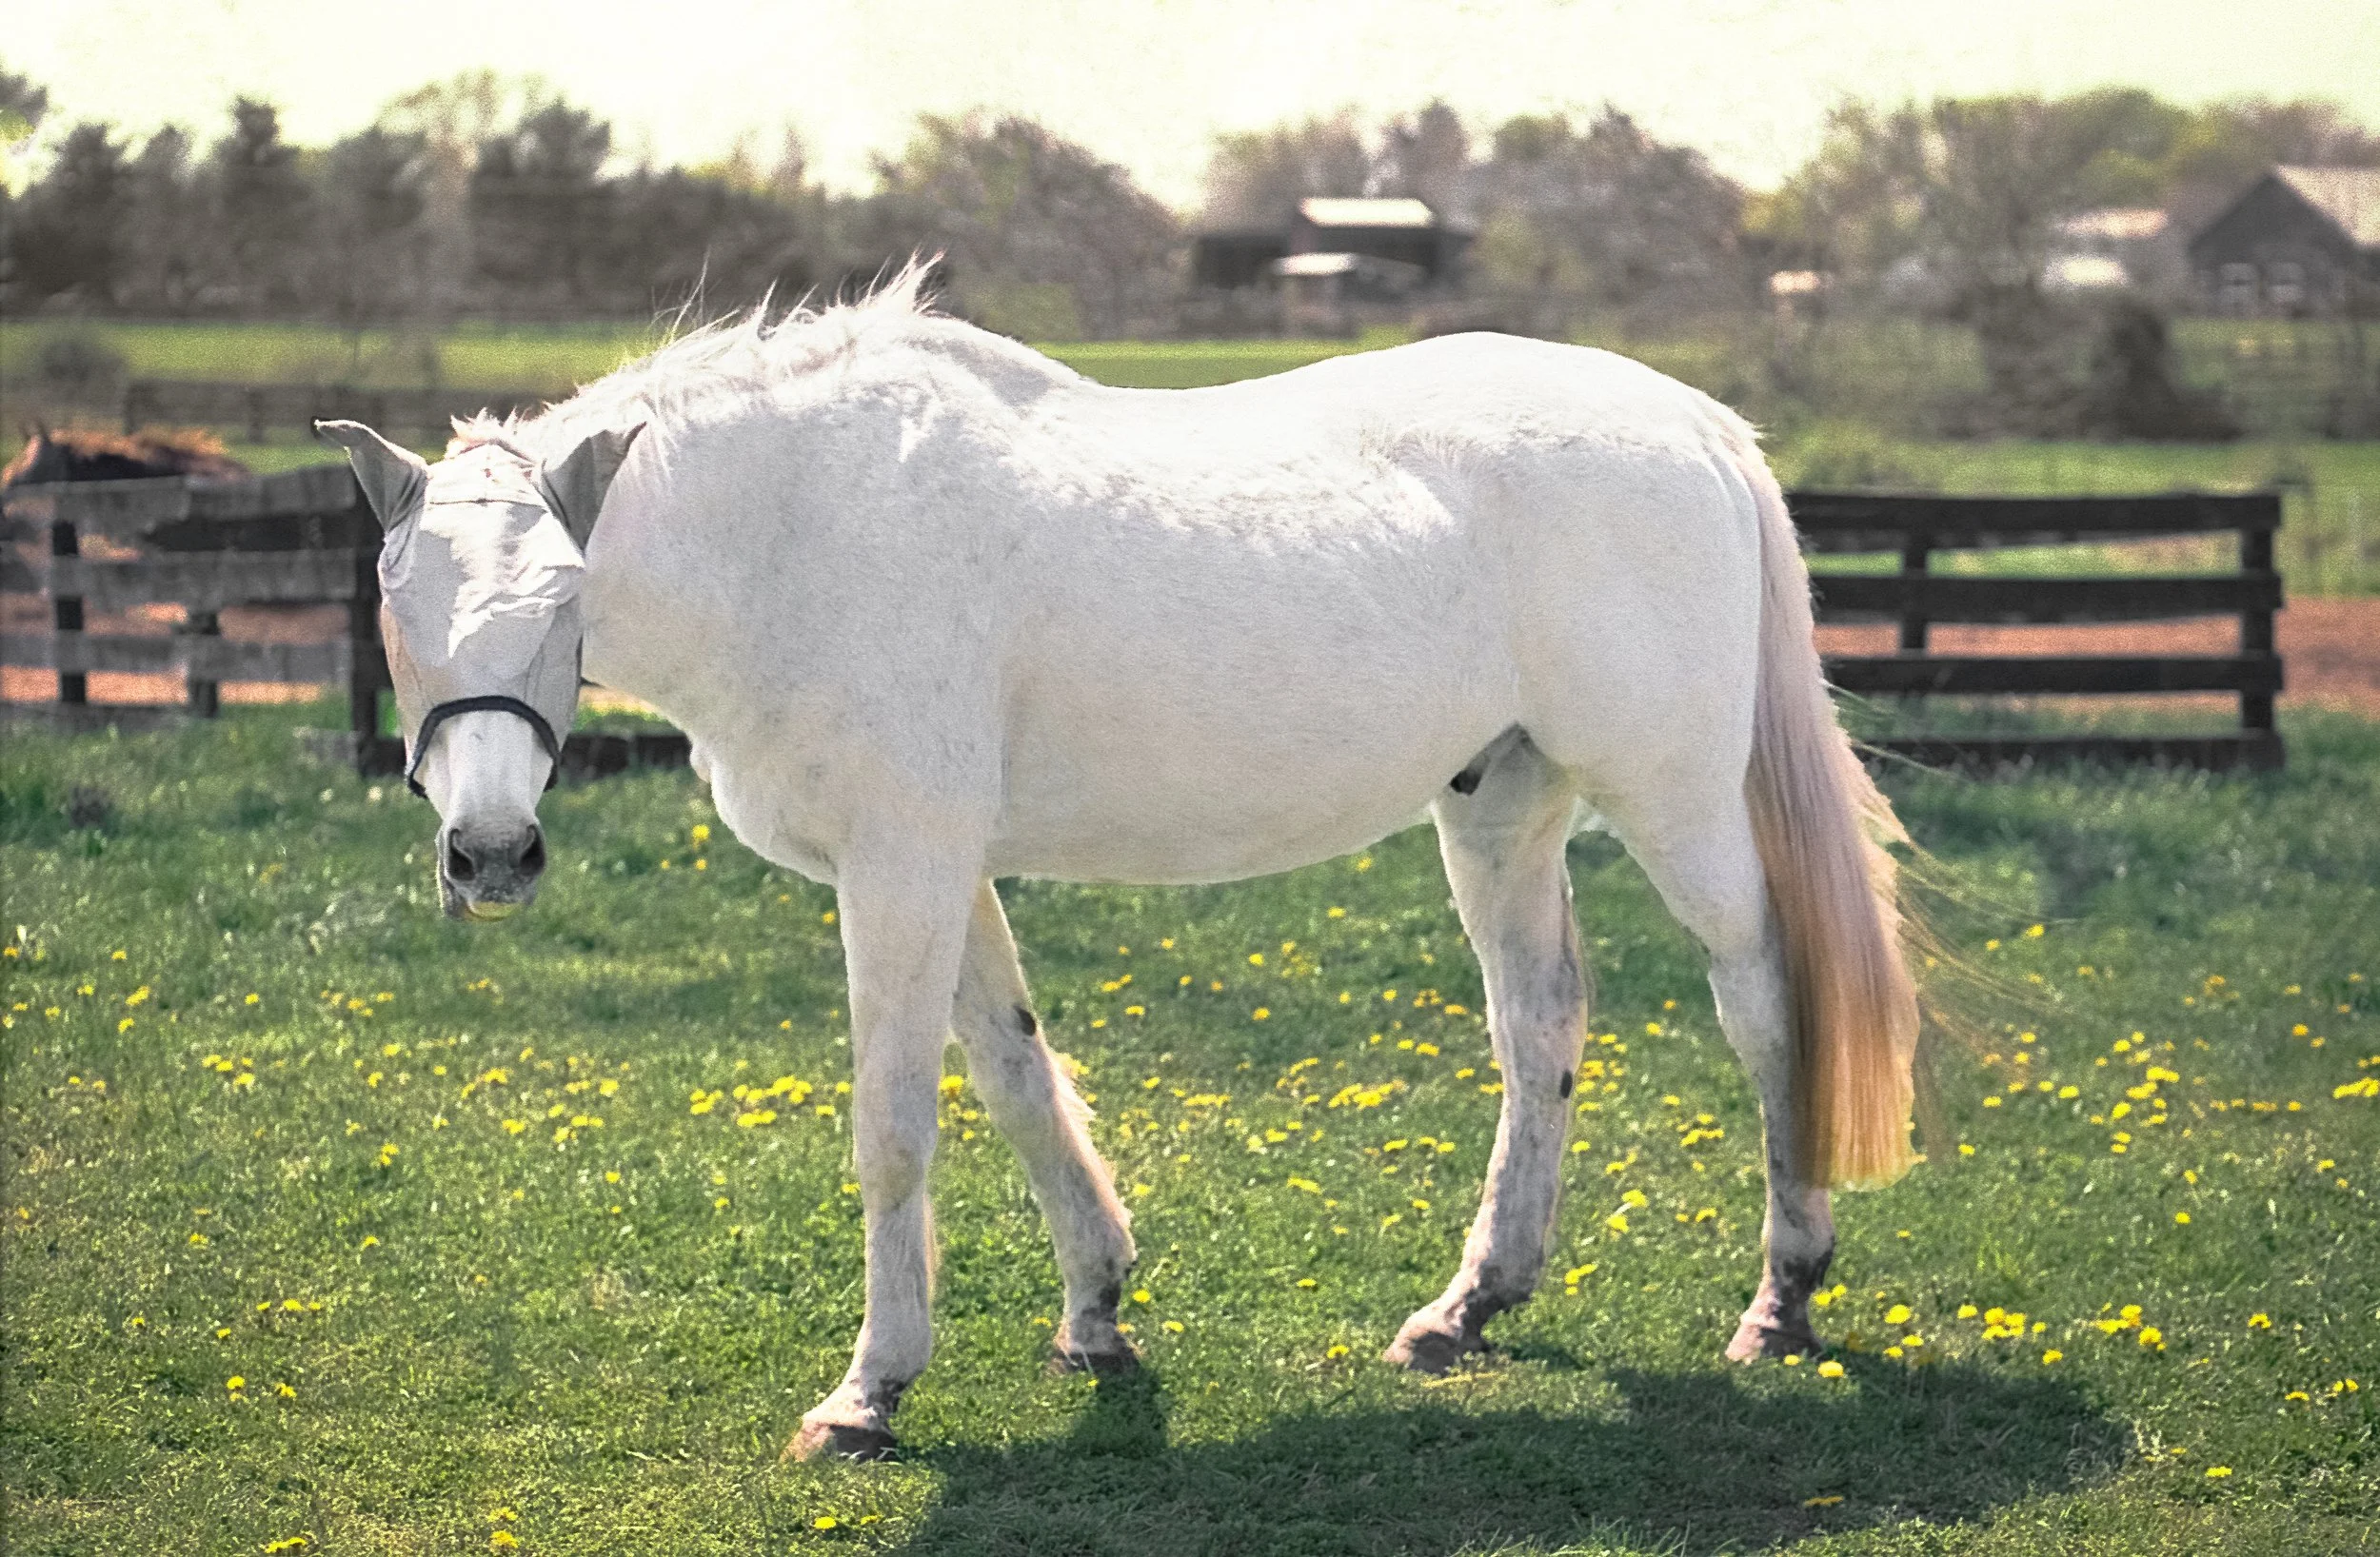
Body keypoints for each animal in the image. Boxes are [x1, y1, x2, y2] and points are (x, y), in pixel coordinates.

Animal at [316, 267, 1922, 1463]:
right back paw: (1469, 1307)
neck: (804, 534)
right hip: (1499, 809)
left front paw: (870, 1391)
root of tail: (1694, 423)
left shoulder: (899, 871)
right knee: (1540, 1030)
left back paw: (1783, 1299)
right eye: (397, 599)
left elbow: (893, 1127)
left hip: (1675, 803)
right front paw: (1095, 1309)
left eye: (563, 598)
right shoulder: (942, 872)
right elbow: (1018, 1073)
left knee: (1763, 1001)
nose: (491, 853)